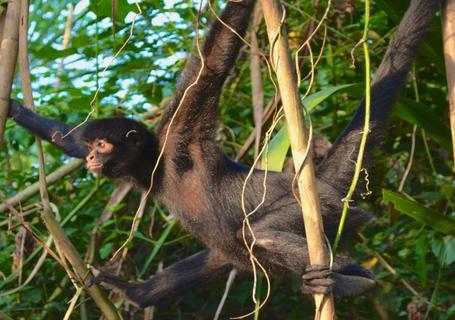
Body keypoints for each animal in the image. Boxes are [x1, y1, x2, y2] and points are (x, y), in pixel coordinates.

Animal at [7, 0, 440, 308]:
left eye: (102, 146)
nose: (93, 160)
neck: (159, 169)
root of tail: (313, 181)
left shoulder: (179, 133)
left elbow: (213, 61)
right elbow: (65, 137)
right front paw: (12, 107)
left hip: (325, 208)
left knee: (258, 234)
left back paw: (356, 282)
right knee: (228, 253)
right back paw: (140, 294)